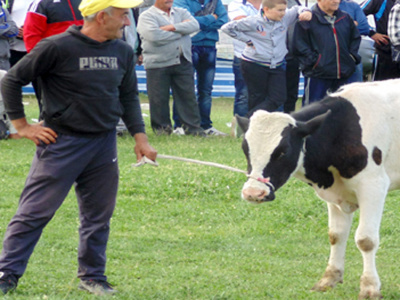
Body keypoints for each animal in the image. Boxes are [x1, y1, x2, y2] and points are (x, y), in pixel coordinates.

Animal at [238, 78, 400, 298]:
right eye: (245, 148)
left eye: (283, 151)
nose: (253, 193)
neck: (343, 128)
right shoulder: (335, 194)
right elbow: (336, 235)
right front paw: (329, 279)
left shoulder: (373, 186)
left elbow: (366, 240)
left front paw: (370, 287)